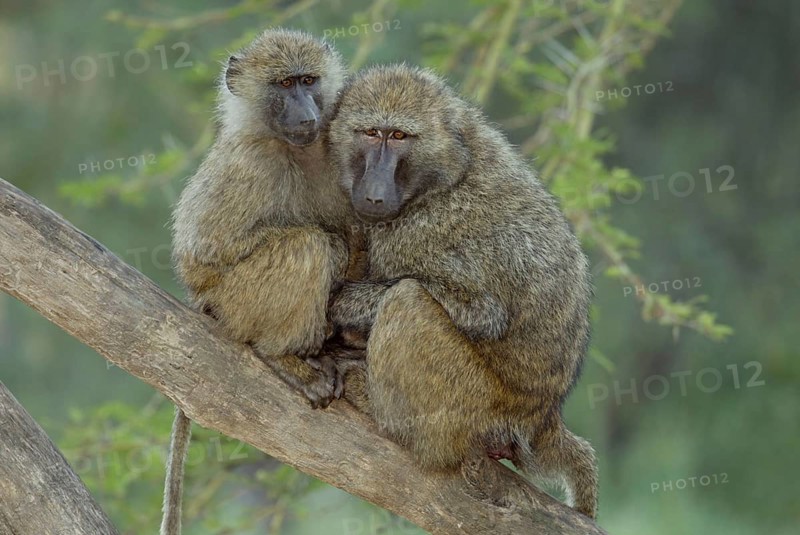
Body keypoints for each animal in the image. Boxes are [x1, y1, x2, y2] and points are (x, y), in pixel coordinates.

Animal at [162, 29, 360, 535]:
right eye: (284, 85)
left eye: (308, 81)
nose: (307, 114)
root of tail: (205, 306)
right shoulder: (247, 165)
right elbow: (205, 251)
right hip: (235, 300)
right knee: (309, 245)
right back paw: (283, 356)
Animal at [323, 64, 599, 518]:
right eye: (370, 133)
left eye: (399, 136)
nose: (374, 193)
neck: (446, 172)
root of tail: (543, 418)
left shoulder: (417, 235)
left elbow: (481, 313)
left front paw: (342, 306)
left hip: (477, 407)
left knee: (407, 302)